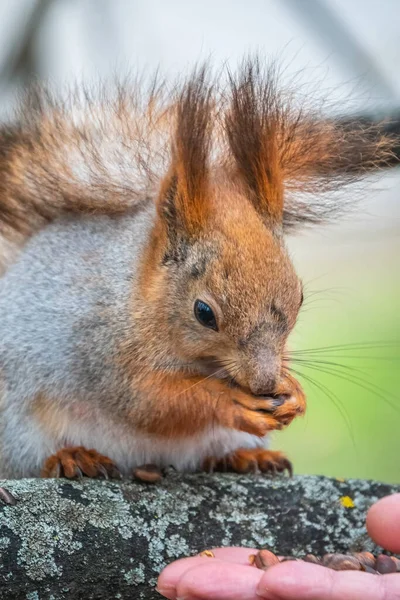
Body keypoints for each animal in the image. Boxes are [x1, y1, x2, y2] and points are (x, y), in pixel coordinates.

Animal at [0, 59, 394, 478]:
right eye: (203, 313)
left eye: (300, 298)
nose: (264, 383)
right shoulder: (101, 349)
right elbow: (152, 402)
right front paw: (229, 402)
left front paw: (294, 392)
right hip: (19, 429)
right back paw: (72, 456)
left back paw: (247, 456)